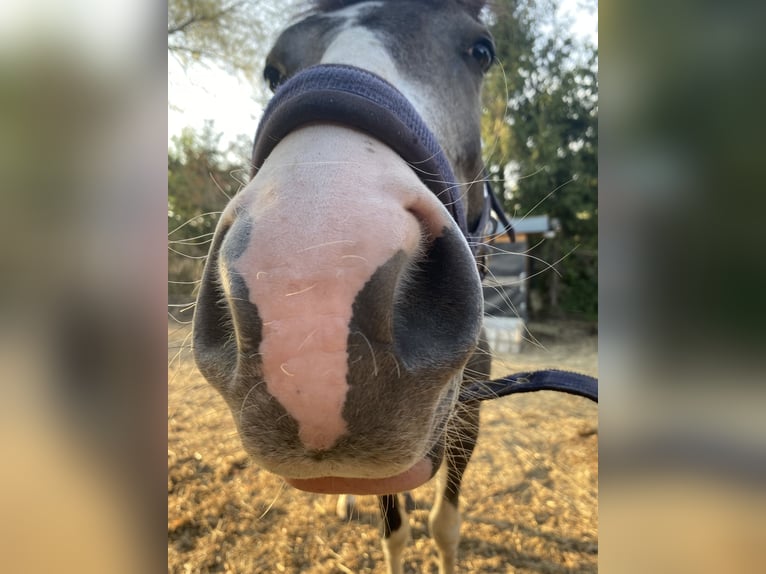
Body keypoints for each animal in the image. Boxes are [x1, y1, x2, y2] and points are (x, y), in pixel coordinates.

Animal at [195, 1, 524, 574]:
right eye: (274, 71)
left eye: (481, 50)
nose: (309, 301)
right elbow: (395, 532)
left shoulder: (470, 418)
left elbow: (445, 525)